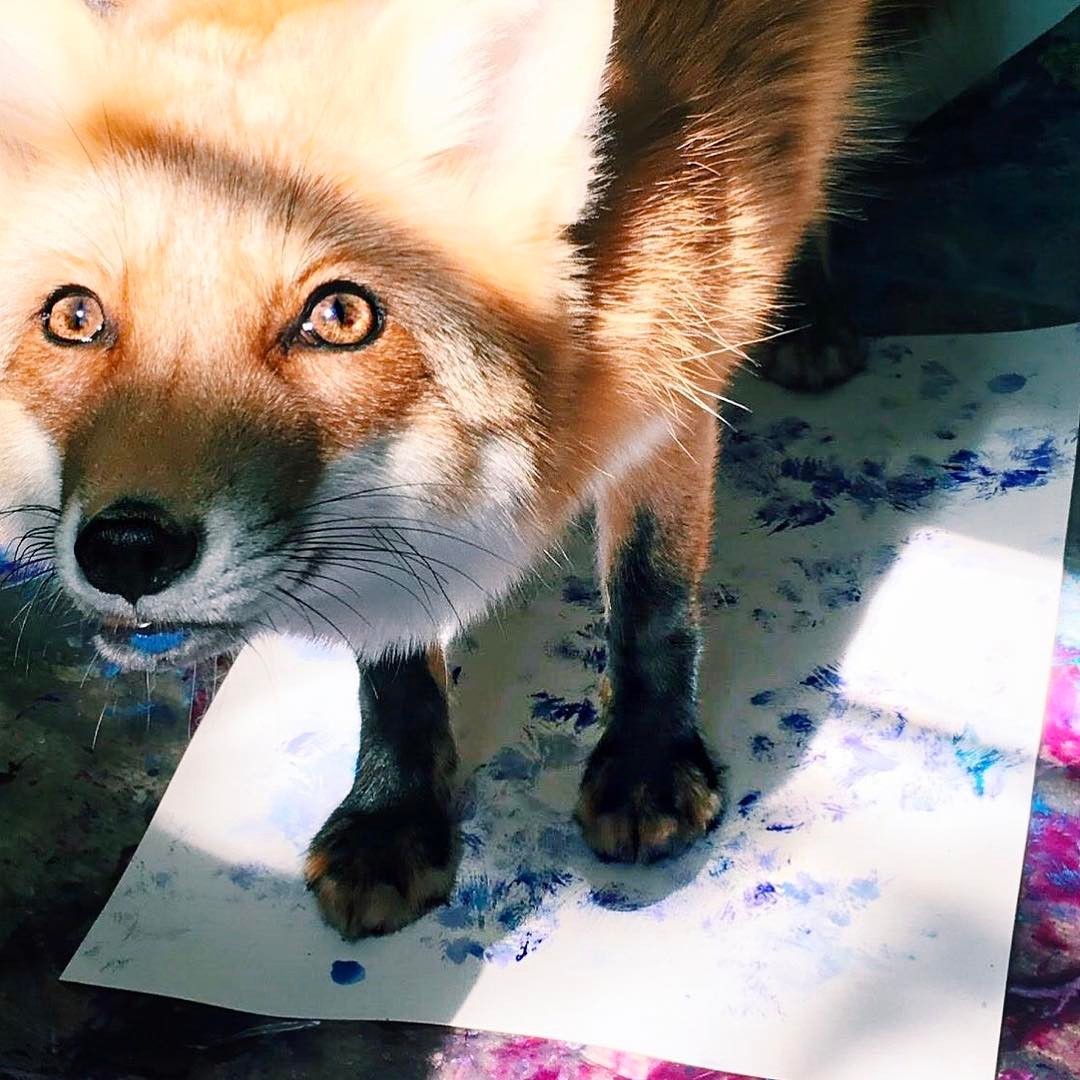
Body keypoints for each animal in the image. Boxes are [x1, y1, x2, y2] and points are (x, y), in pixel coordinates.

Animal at [0, 0, 1010, 937]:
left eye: (340, 316)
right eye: (74, 318)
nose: (127, 549)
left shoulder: (682, 344)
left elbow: (650, 596)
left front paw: (647, 761)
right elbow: (395, 662)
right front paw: (396, 813)